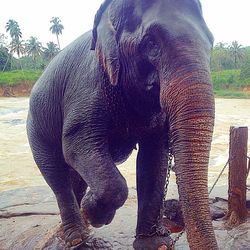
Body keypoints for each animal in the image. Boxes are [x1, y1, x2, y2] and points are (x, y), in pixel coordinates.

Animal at [27, 0, 218, 250]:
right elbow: (76, 144)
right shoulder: (87, 87)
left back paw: (76, 226)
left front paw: (155, 243)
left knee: (74, 177)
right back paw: (77, 235)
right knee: (56, 172)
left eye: (211, 43)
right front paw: (95, 214)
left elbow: (154, 158)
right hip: (36, 126)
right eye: (150, 43)